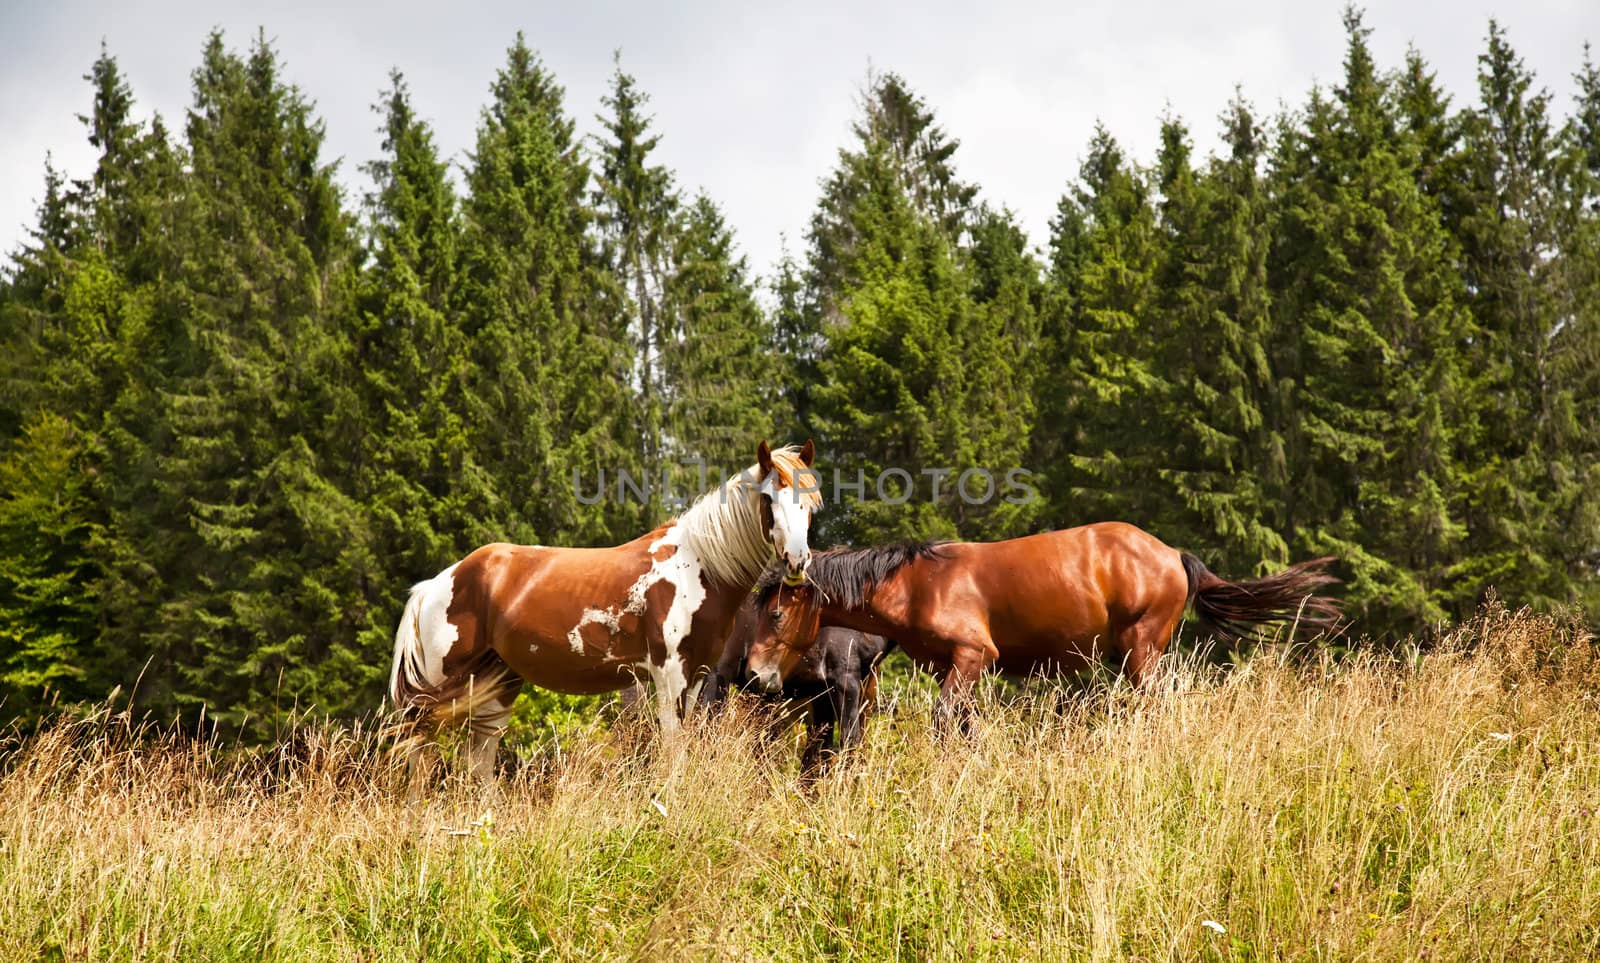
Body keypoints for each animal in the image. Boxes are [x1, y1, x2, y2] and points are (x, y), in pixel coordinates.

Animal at [384, 438, 812, 777]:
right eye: (769, 498)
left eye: (809, 503)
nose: (797, 561)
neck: (697, 566)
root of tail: (437, 583)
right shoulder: (669, 675)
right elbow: (673, 753)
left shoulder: (696, 676)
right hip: (438, 686)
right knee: (419, 752)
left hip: (498, 684)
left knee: (479, 760)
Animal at [745, 524, 1337, 726]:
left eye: (775, 613)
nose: (755, 675)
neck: (917, 582)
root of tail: (1172, 554)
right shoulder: (955, 670)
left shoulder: (972, 658)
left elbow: (945, 720)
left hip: (1142, 652)